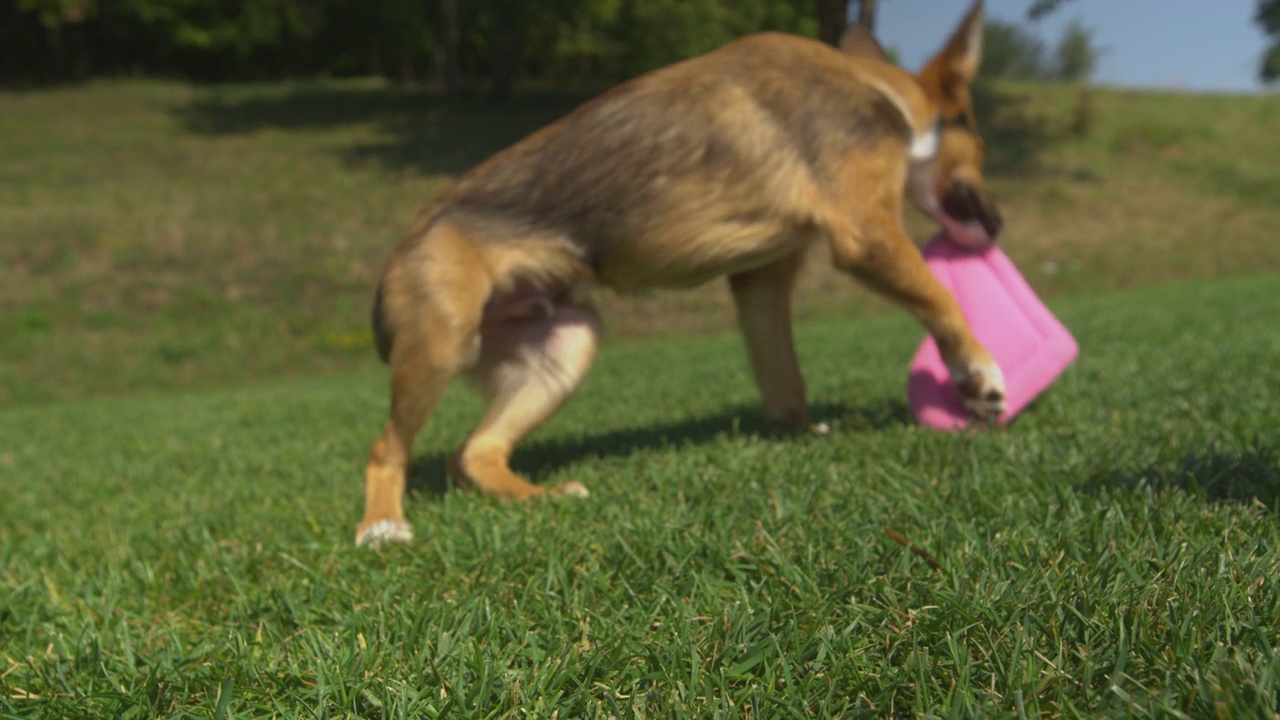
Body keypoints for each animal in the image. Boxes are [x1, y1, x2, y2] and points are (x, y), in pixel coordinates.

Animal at [355, 2, 1003, 545]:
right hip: (443, 340)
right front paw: (976, 373)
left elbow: (784, 375)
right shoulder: (865, 233)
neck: (878, 91)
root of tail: (400, 248)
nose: (999, 223)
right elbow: (939, 298)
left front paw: (798, 430)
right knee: (386, 449)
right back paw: (383, 526)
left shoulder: (762, 279)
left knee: (472, 453)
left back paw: (542, 496)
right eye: (979, 143)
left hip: (566, 344)